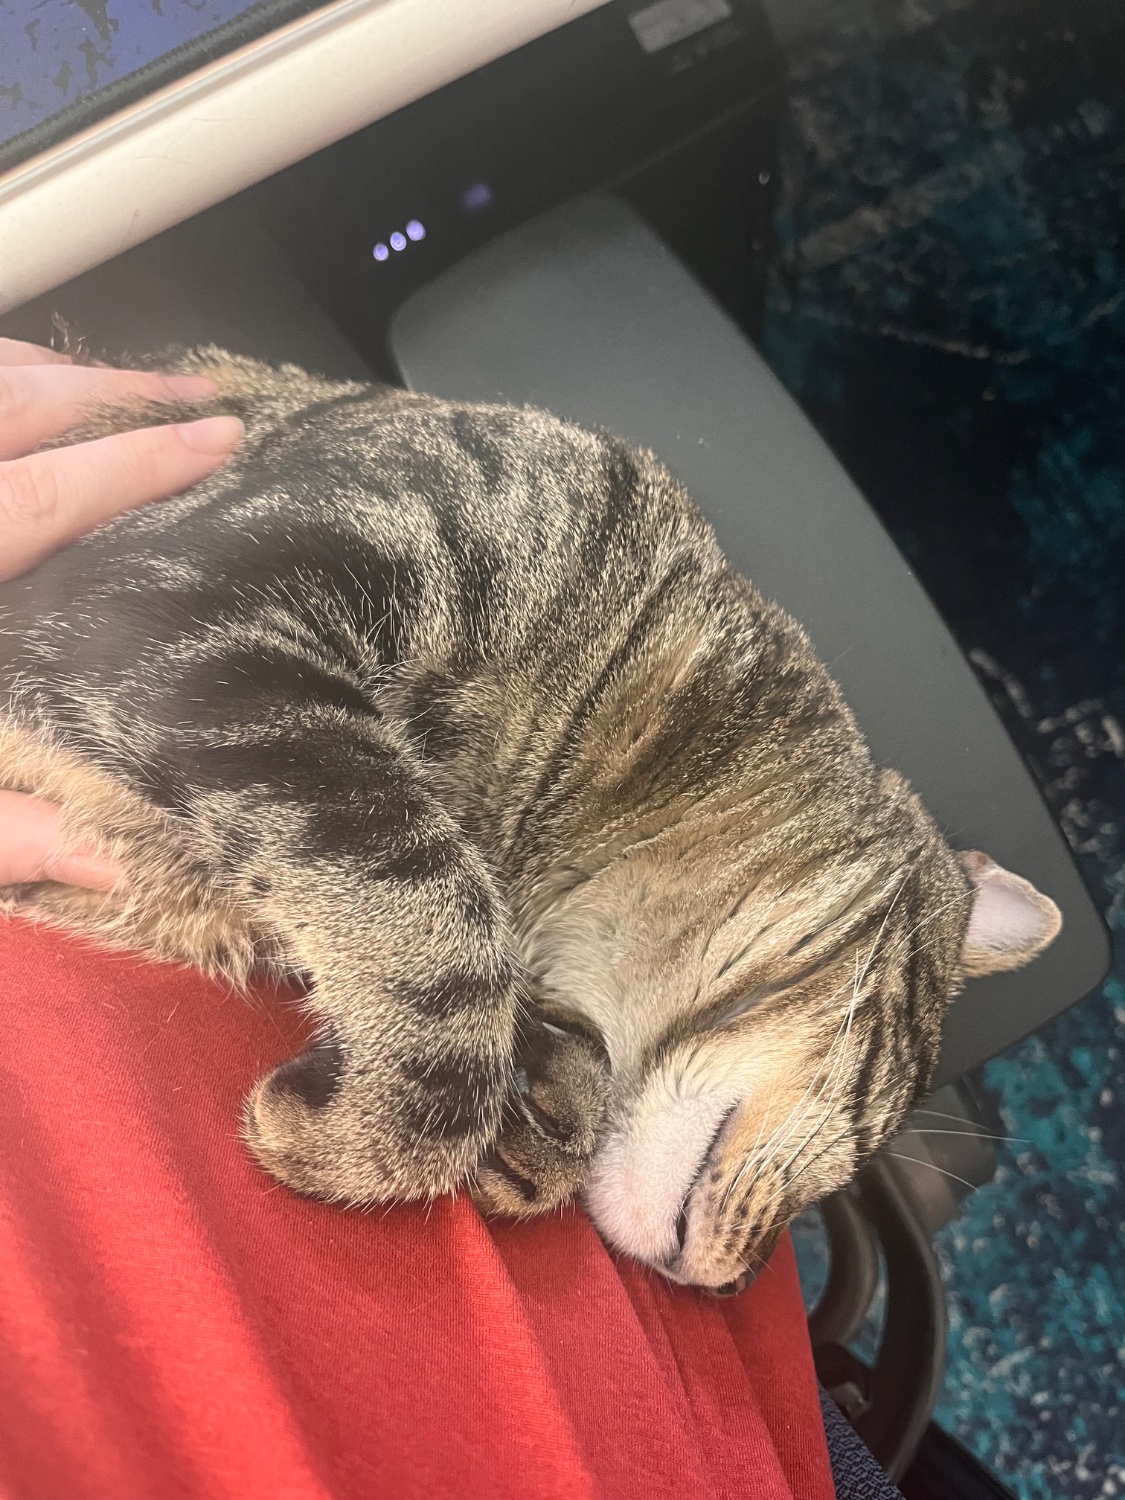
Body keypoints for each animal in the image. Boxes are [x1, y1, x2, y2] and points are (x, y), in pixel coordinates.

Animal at [0, 348, 1061, 1293]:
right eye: (883, 1114)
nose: (739, 1290)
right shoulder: (190, 610)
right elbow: (436, 929)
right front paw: (369, 1137)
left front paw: (542, 1114)